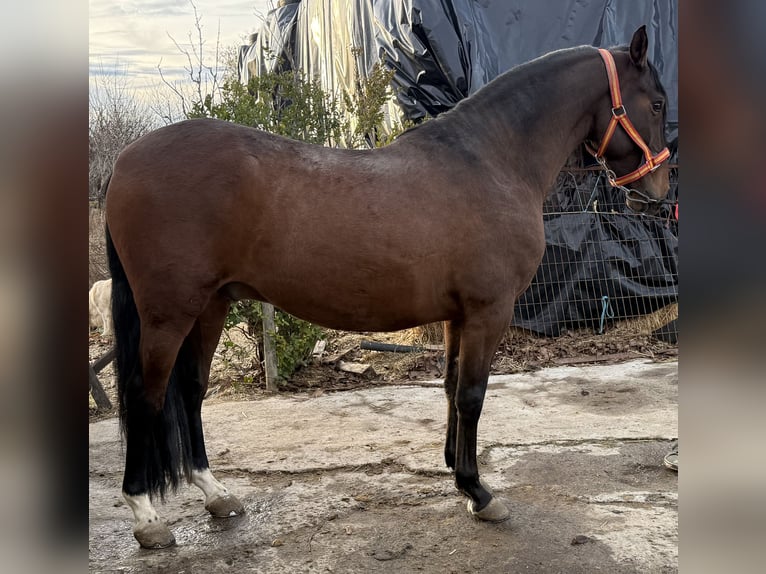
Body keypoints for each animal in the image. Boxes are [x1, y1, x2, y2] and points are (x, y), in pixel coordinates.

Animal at [104, 26, 670, 548]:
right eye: (659, 103)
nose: (658, 193)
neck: (492, 160)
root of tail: (124, 160)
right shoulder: (488, 311)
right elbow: (472, 395)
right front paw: (479, 493)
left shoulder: (457, 315)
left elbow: (450, 387)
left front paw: (455, 472)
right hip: (169, 314)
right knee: (145, 396)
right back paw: (147, 517)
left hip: (210, 306)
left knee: (191, 392)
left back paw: (217, 495)